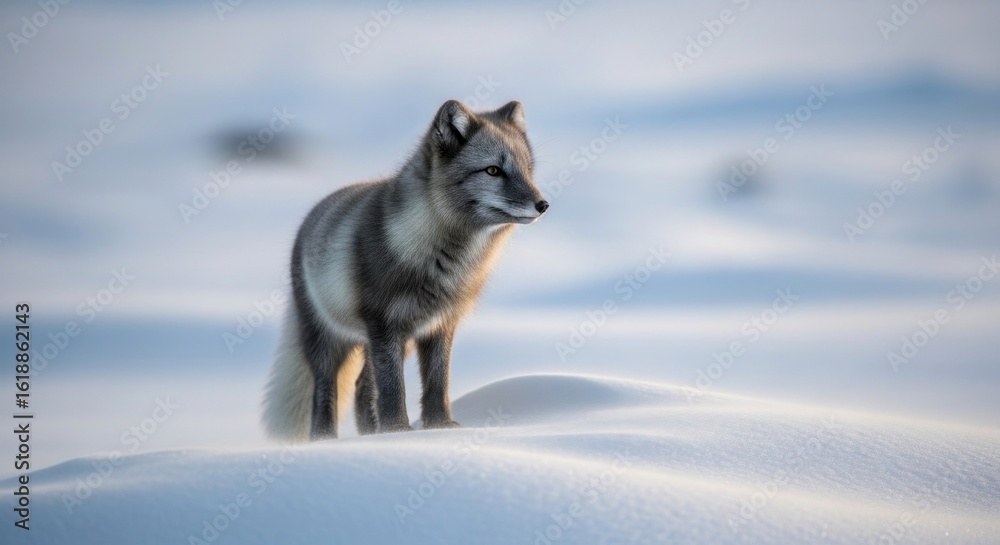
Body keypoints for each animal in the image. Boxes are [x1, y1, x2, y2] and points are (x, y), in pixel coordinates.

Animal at [262, 99, 548, 441]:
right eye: (493, 170)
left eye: (527, 170)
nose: (543, 204)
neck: (444, 260)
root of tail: (311, 217)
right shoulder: (385, 325)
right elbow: (393, 388)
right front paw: (397, 430)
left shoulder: (440, 324)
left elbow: (438, 382)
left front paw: (437, 427)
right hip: (328, 339)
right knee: (326, 390)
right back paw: (323, 440)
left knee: (362, 387)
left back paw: (370, 437)